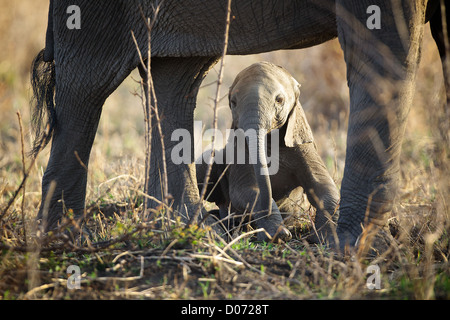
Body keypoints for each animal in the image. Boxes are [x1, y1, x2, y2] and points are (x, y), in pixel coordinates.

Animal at [195, 62, 340, 242]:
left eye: (279, 100)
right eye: (233, 102)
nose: (281, 233)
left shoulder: (304, 148)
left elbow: (325, 187)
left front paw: (323, 239)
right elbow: (245, 190)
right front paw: (278, 235)